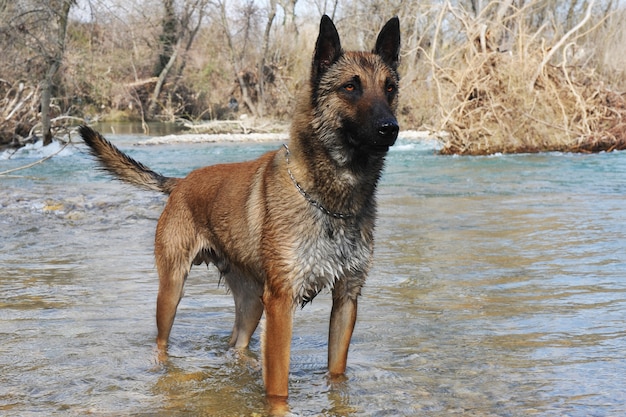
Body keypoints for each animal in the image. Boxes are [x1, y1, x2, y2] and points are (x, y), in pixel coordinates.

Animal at [79, 15, 400, 400]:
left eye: (390, 88)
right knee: (161, 341)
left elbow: (336, 374)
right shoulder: (282, 303)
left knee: (237, 344)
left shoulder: (346, 299)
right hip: (172, 290)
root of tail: (180, 182)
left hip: (252, 303)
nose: (390, 128)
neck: (330, 201)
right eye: (351, 87)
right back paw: (162, 368)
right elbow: (278, 389)